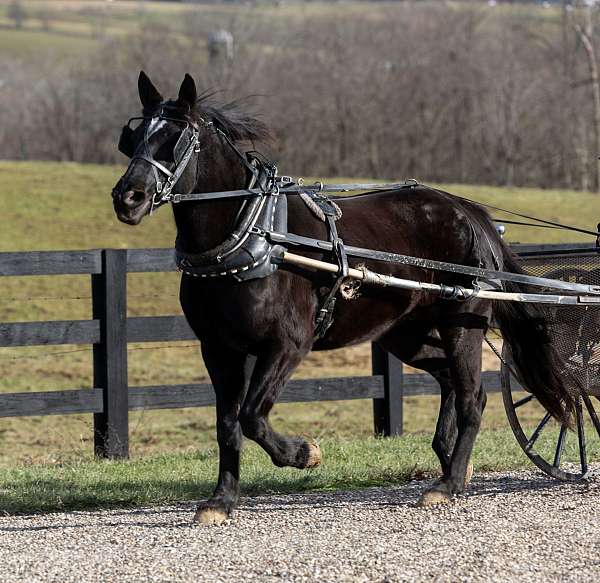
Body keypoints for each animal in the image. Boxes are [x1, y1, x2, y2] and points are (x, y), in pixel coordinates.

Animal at [111, 73, 572, 524]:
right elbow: (228, 425)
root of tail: (469, 213)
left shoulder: (288, 345)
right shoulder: (218, 349)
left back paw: (450, 482)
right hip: (404, 333)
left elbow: (252, 416)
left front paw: (304, 453)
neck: (254, 233)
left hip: (462, 323)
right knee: (447, 379)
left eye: (176, 139)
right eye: (134, 138)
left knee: (472, 397)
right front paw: (222, 500)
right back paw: (448, 459)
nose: (127, 197)